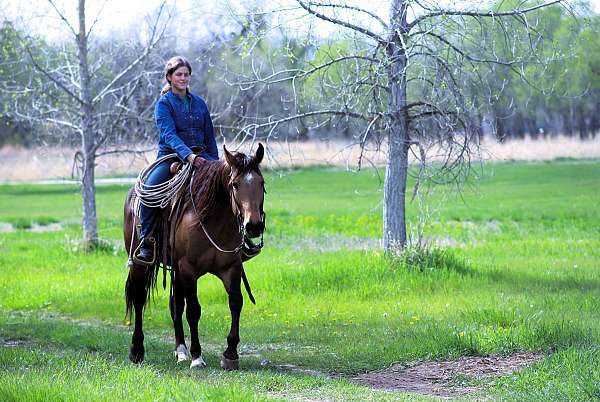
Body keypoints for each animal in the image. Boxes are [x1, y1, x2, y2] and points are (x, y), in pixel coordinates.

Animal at [123, 143, 264, 370]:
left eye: (261, 182)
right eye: (235, 184)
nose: (254, 226)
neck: (214, 220)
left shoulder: (231, 268)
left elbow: (235, 302)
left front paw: (230, 354)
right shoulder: (189, 269)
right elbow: (194, 310)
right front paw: (198, 356)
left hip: (176, 271)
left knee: (175, 305)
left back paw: (181, 350)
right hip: (139, 262)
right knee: (139, 298)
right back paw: (137, 351)